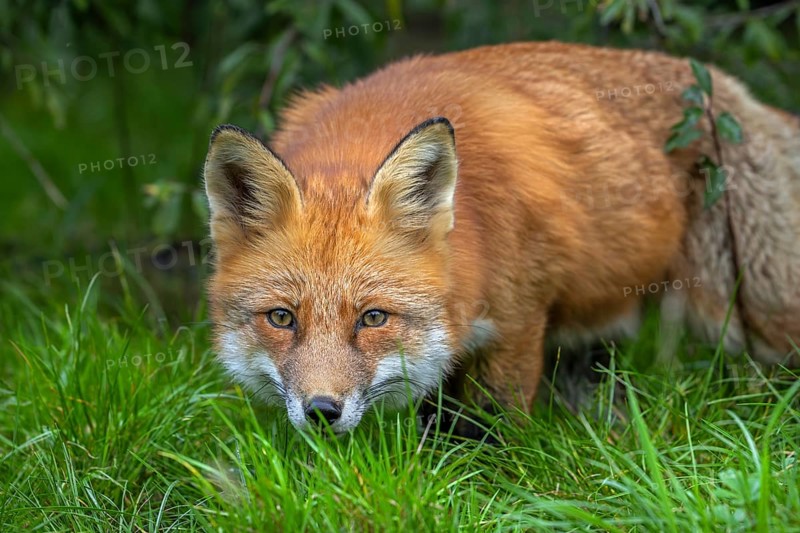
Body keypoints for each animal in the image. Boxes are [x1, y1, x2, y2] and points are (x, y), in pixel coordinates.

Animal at [203, 42, 800, 434]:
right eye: (282, 318)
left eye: (373, 318)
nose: (322, 411)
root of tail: (726, 86)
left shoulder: (518, 321)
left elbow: (495, 435)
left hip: (745, 311)